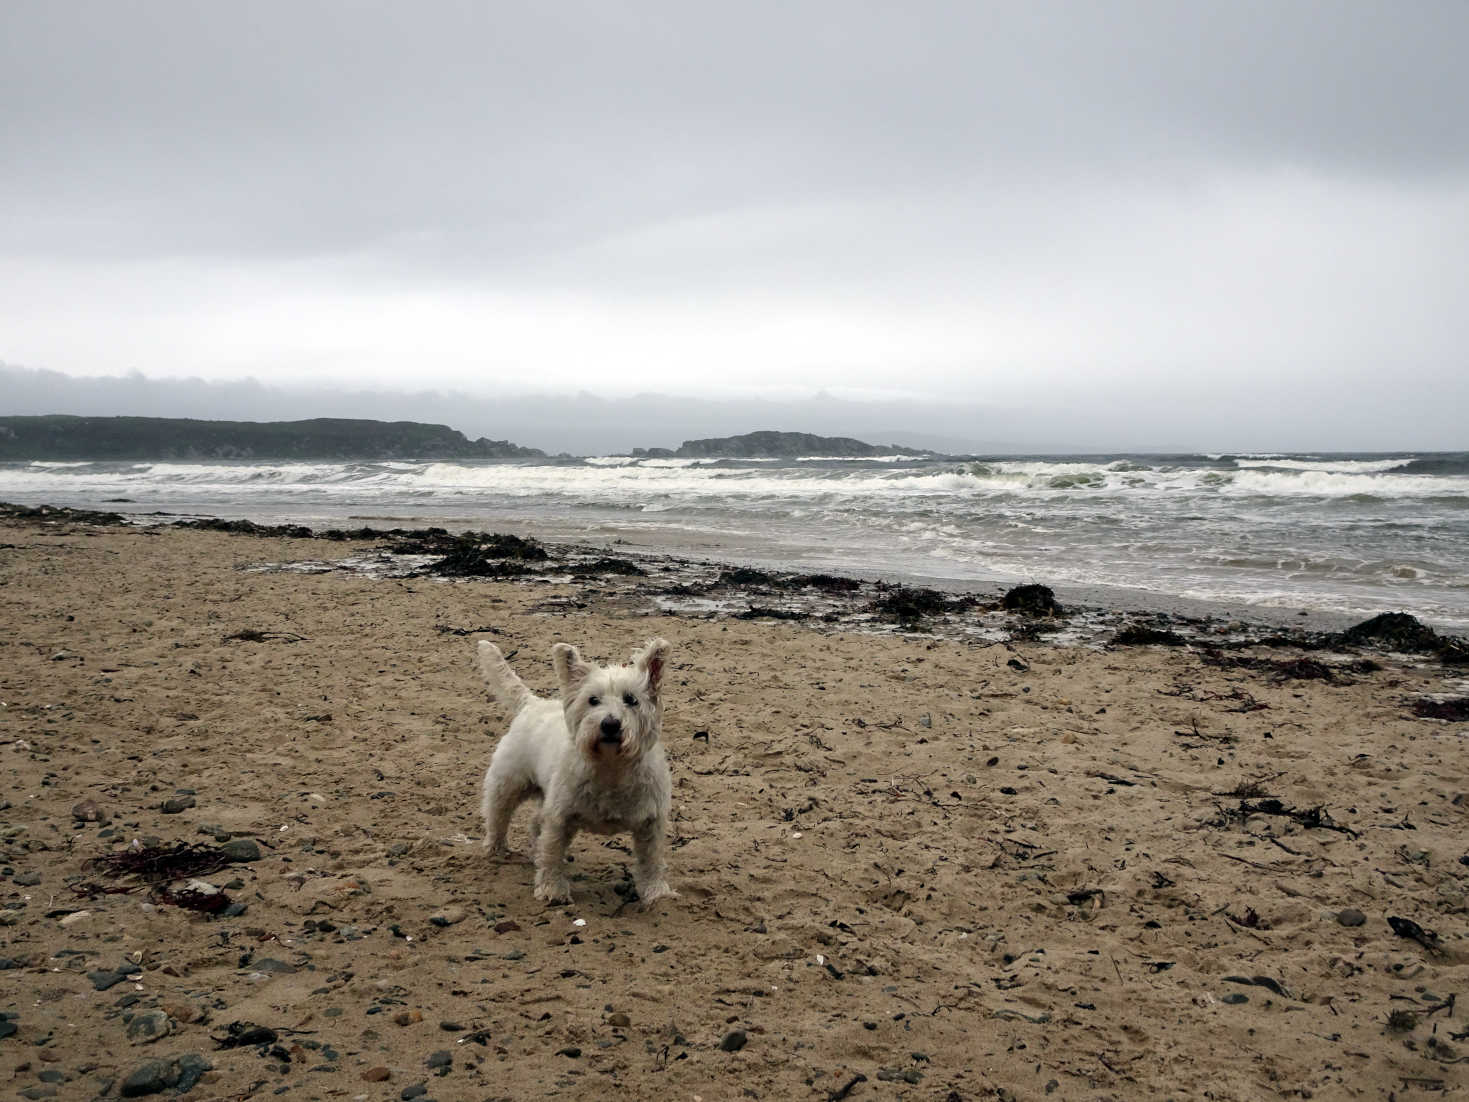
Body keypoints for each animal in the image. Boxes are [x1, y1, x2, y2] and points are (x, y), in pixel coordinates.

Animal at [475, 637, 675, 905]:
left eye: (631, 700)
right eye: (593, 700)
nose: (610, 724)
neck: (611, 767)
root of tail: (532, 702)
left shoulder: (650, 822)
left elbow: (651, 860)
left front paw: (656, 892)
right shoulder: (560, 817)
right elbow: (552, 852)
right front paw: (552, 889)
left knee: (534, 824)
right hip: (508, 782)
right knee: (498, 814)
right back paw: (495, 849)